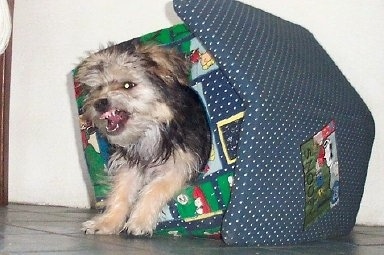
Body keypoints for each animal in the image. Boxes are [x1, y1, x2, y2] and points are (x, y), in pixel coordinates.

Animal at [76, 40, 210, 236]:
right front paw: (108, 221)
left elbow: (156, 187)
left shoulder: (181, 164)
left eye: (128, 85)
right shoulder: (128, 166)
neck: (149, 132)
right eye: (99, 87)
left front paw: (140, 219)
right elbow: (121, 191)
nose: (99, 103)